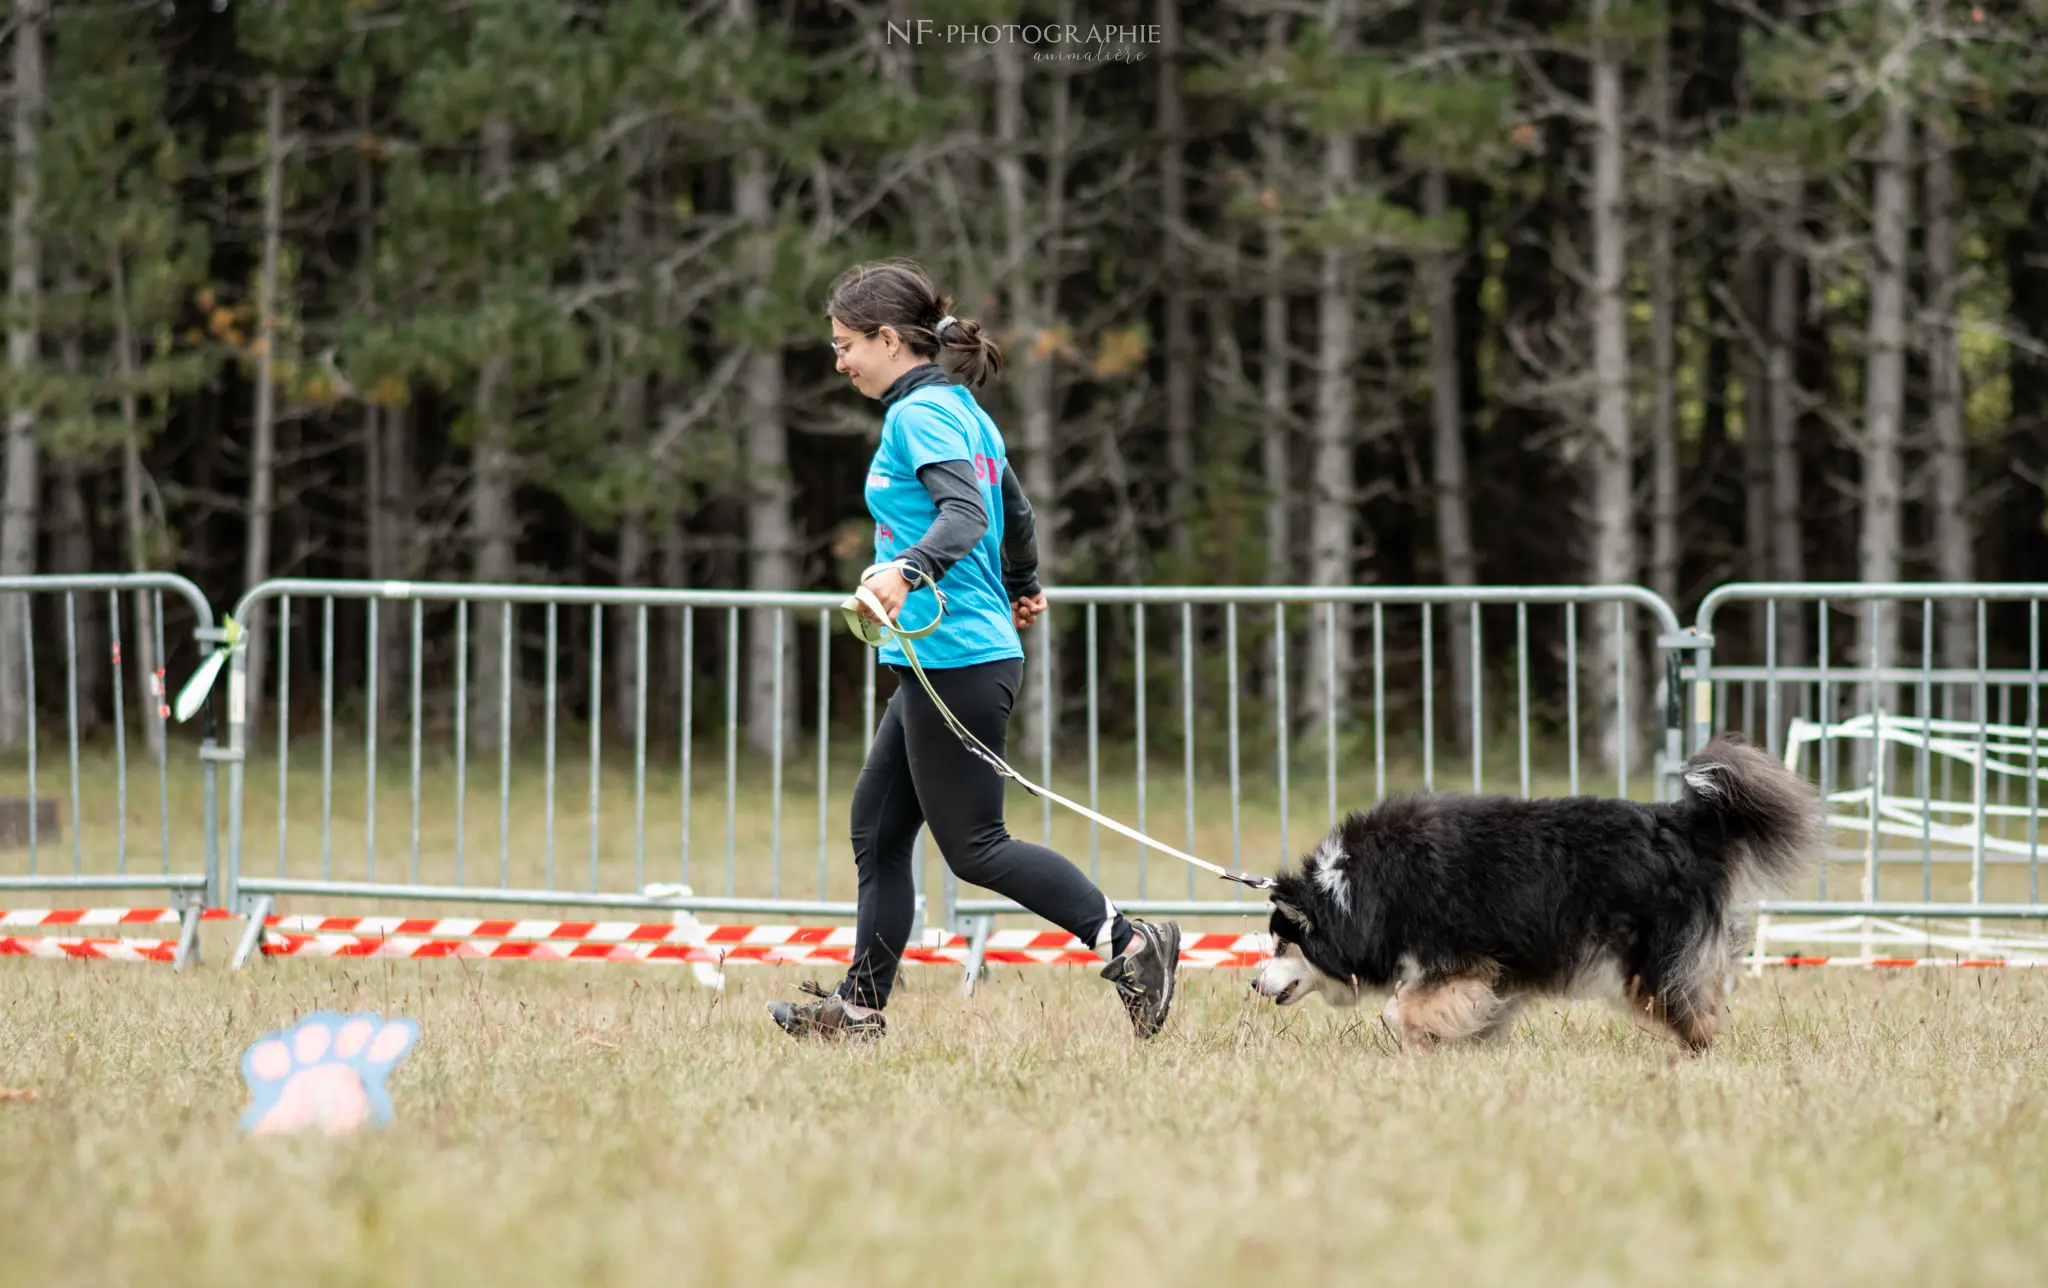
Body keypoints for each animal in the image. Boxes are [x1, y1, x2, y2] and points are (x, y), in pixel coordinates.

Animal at [1245, 728, 1826, 1048]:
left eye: (1282, 945)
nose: (1251, 983)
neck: (1358, 891)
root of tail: (1683, 822)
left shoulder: (1455, 954)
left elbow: (1402, 1007)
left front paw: (1422, 1040)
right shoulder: (1494, 966)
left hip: (1650, 953)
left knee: (1691, 1009)